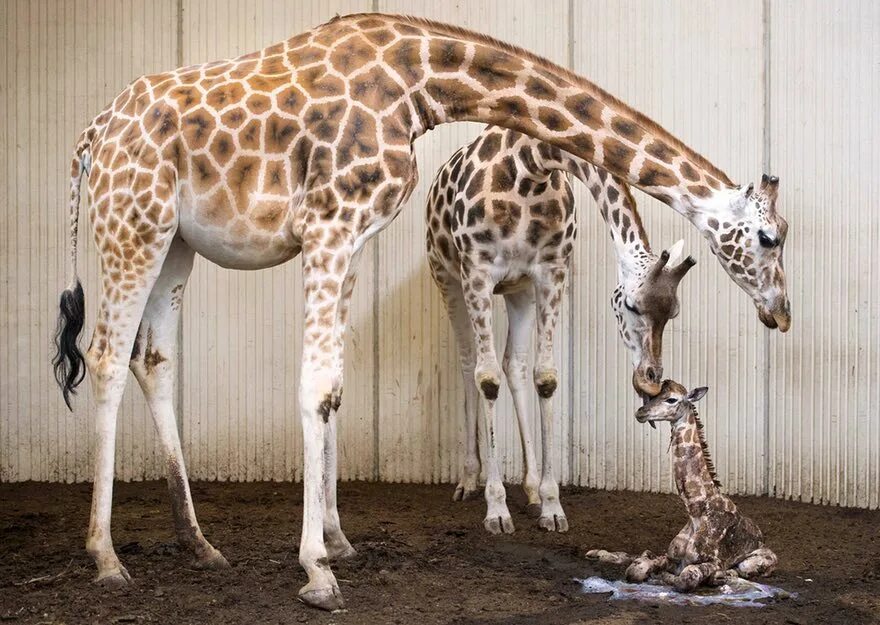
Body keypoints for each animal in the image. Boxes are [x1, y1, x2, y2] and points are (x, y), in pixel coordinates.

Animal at [592, 380, 776, 588]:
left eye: (672, 399)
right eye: (654, 396)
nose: (641, 412)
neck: (695, 511)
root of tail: (760, 534)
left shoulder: (713, 561)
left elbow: (685, 578)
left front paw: (713, 577)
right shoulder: (670, 557)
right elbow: (636, 569)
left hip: (754, 562)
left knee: (742, 569)